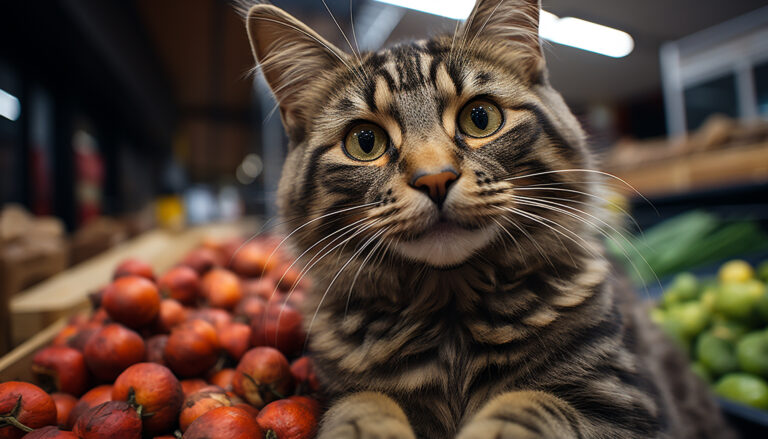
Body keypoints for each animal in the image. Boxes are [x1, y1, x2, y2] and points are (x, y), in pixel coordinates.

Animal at [242, 1, 736, 438]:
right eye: (365, 142)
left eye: (480, 118)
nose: (435, 178)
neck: (450, 316)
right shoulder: (339, 393)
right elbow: (363, 405)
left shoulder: (622, 399)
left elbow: (528, 404)